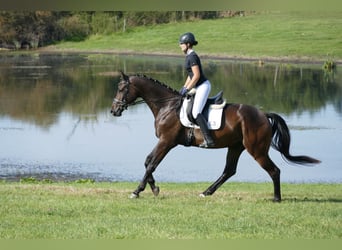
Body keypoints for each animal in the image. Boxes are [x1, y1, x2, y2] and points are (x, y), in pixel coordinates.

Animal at [110, 72, 320, 201]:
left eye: (121, 89)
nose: (113, 111)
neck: (166, 106)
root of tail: (263, 114)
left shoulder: (167, 141)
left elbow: (152, 163)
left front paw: (137, 191)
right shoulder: (164, 142)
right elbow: (148, 161)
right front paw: (154, 189)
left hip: (257, 150)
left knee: (274, 171)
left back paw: (276, 198)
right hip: (236, 146)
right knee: (229, 170)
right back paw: (206, 192)